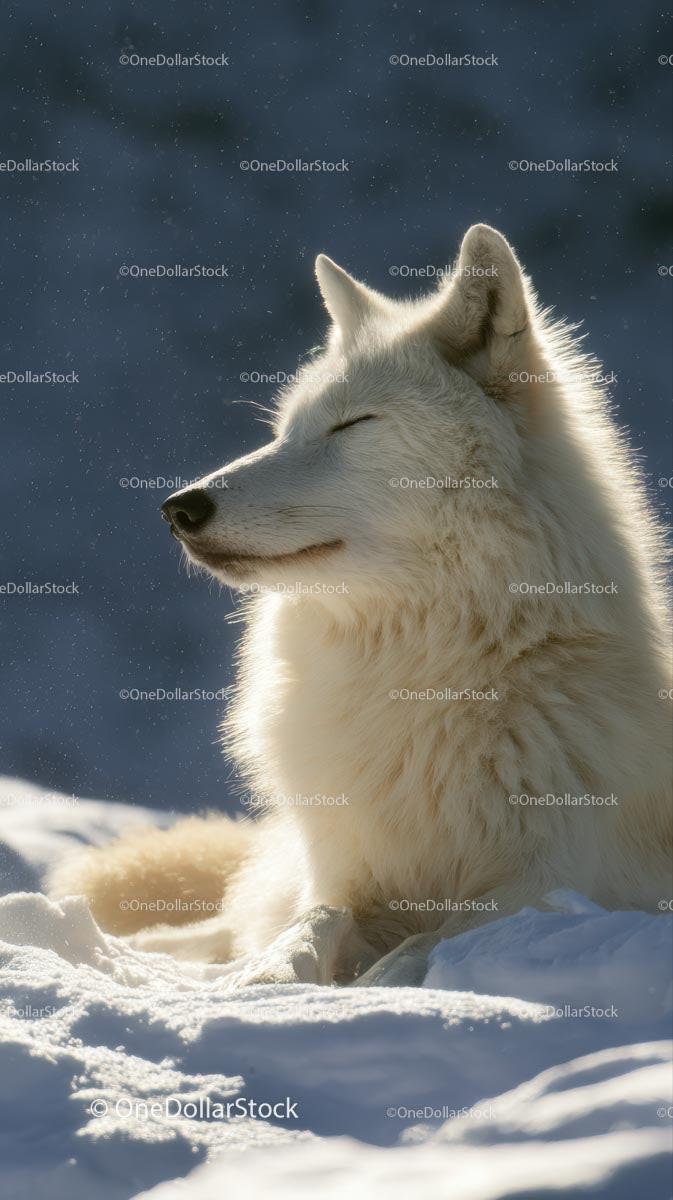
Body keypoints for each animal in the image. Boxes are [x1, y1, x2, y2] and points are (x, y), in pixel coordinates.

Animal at [51, 224, 673, 987]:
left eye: (351, 425)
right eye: (284, 431)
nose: (179, 508)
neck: (423, 677)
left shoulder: (559, 882)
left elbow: (434, 940)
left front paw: (378, 986)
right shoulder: (345, 872)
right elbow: (312, 924)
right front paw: (265, 983)